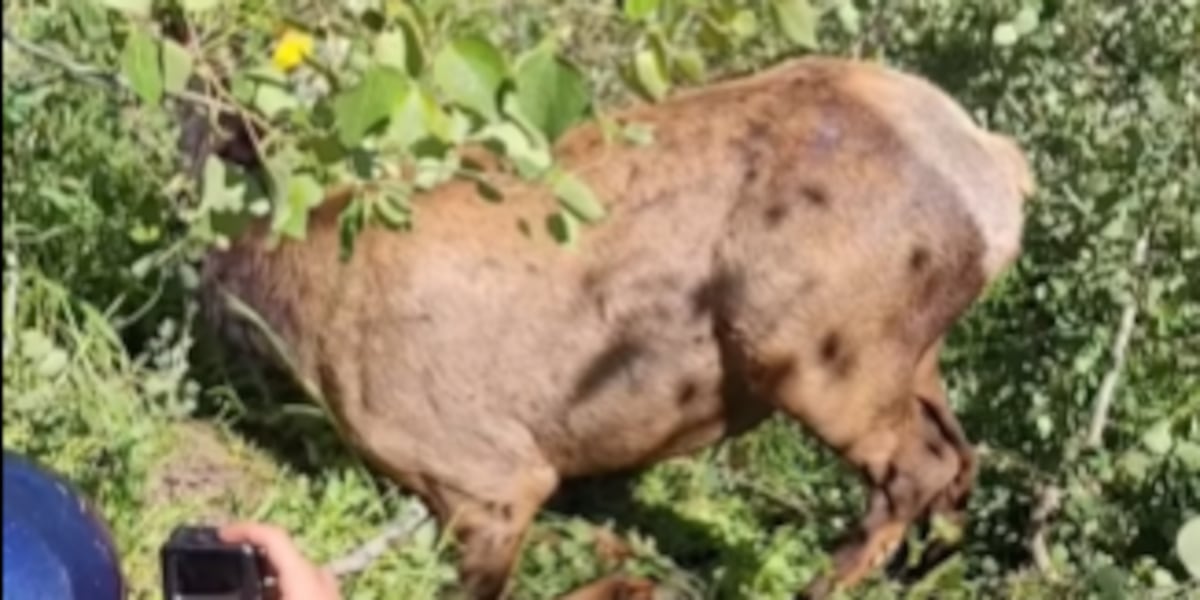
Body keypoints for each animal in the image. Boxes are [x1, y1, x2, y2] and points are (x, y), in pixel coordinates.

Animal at [196, 56, 1035, 599]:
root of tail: (1001, 174)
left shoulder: (485, 473)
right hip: (911, 356)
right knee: (960, 458)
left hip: (819, 353)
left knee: (917, 468)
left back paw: (818, 584)